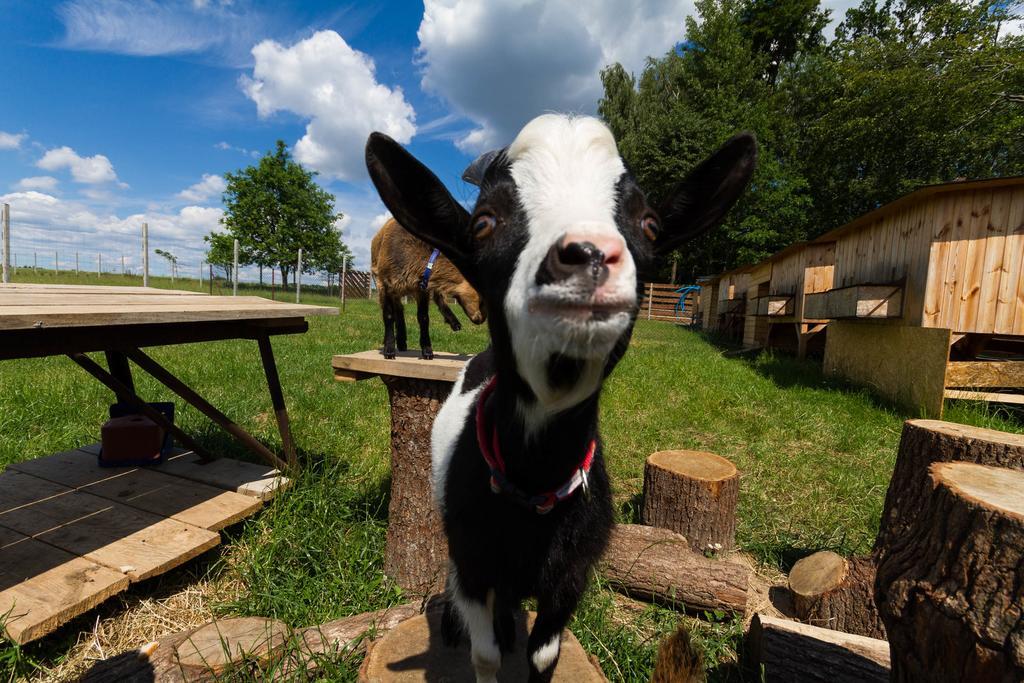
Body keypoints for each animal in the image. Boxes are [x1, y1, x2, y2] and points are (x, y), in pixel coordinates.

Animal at [368, 219, 483, 360]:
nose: (481, 319)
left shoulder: (421, 288)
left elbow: (423, 317)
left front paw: (427, 350)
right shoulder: (386, 284)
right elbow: (389, 315)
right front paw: (389, 349)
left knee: (436, 298)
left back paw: (453, 322)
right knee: (398, 309)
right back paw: (399, 341)